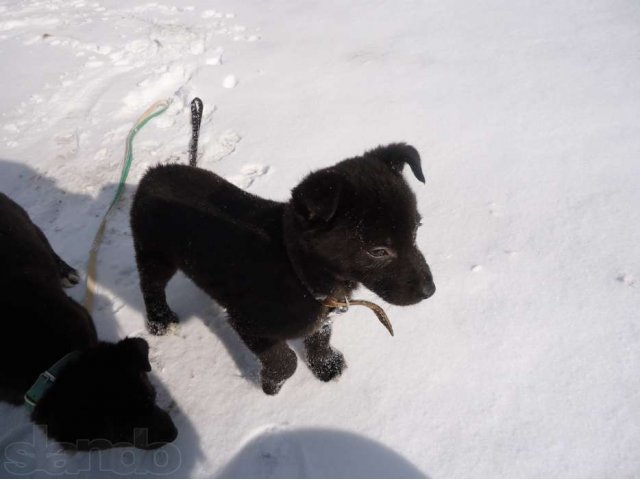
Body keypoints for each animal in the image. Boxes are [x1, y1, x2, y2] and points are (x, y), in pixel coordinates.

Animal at [130, 144, 436, 396]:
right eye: (378, 251)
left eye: (416, 230)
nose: (430, 291)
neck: (294, 267)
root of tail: (153, 173)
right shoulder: (247, 323)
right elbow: (285, 360)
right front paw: (270, 384)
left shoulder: (322, 312)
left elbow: (319, 338)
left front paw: (326, 367)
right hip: (154, 254)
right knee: (150, 285)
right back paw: (160, 320)